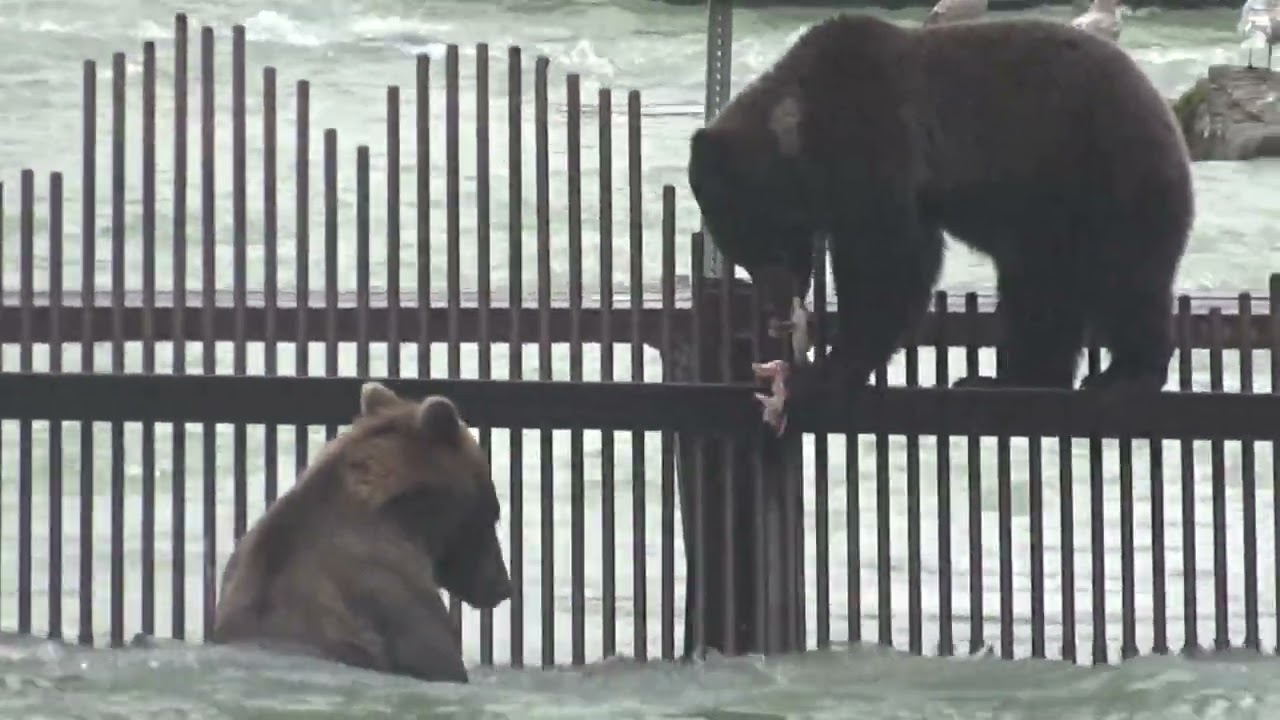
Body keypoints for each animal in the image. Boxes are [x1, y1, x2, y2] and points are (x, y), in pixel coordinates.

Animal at [686, 14, 1194, 435]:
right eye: (741, 255)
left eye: (764, 245)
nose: (775, 309)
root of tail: (1164, 109)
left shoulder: (876, 144)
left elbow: (891, 260)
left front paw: (825, 372)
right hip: (1046, 219)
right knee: (1040, 290)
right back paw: (1006, 378)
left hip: (1105, 175)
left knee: (1126, 276)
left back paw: (1125, 375)